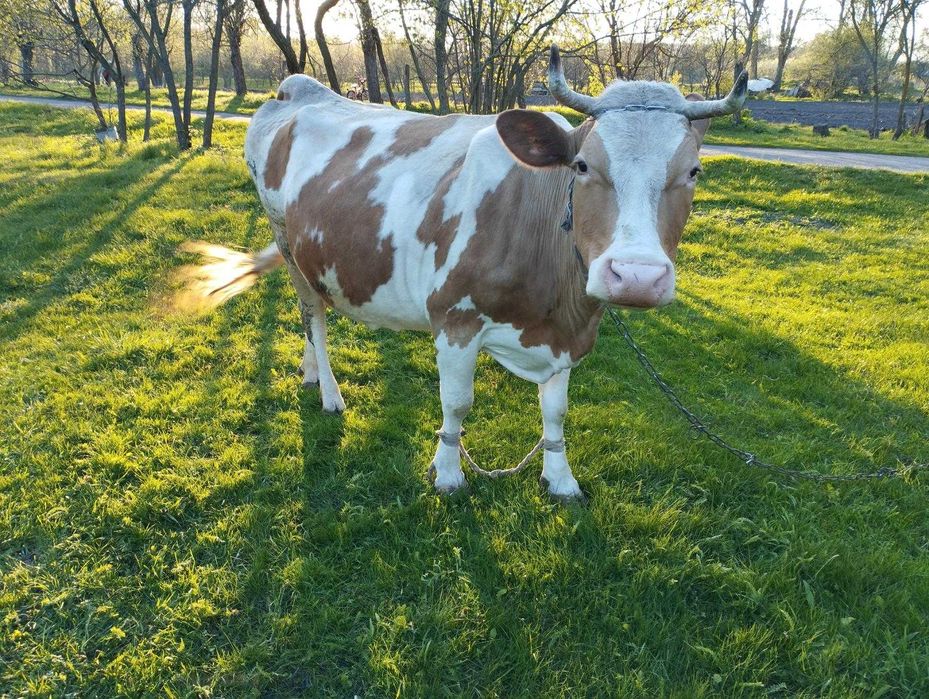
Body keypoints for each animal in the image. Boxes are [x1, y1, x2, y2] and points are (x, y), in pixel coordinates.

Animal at [181, 45, 748, 500]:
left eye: (693, 171)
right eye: (583, 166)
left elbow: (556, 414)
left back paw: (311, 372)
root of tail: (296, 87)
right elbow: (457, 404)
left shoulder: (566, 335)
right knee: (313, 314)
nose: (635, 277)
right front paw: (449, 473)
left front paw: (560, 478)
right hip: (286, 236)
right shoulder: (454, 318)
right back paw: (330, 392)